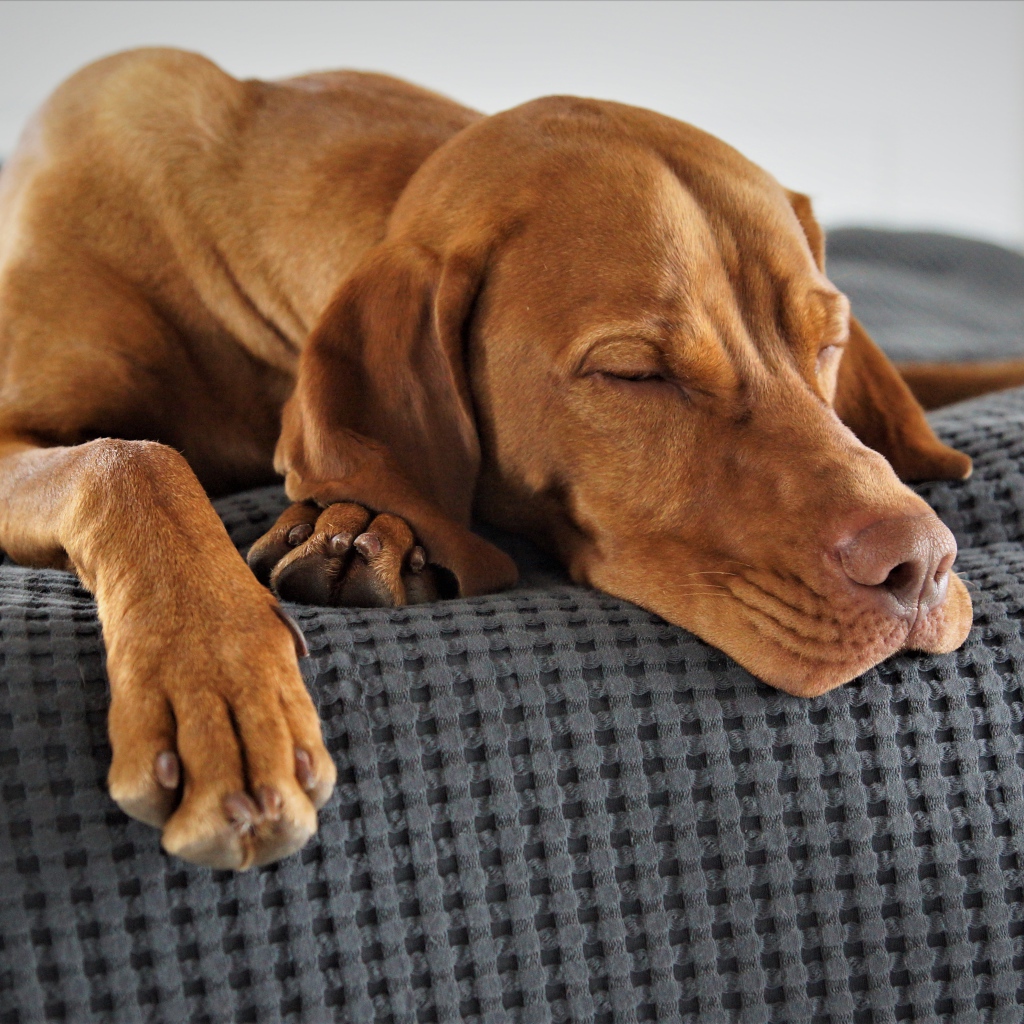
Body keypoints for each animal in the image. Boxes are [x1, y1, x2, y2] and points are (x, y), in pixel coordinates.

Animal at [0, 46, 1015, 864]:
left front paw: (357, 526)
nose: (922, 566)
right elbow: (130, 457)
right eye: (636, 373)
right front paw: (214, 686)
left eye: (829, 340)